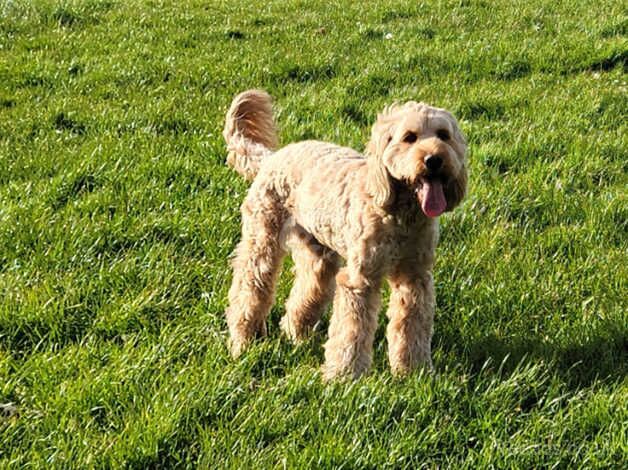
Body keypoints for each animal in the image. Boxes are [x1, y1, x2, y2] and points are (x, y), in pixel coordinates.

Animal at [221, 90, 466, 380]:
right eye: (409, 137)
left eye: (443, 135)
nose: (434, 160)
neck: (400, 214)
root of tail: (272, 156)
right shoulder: (360, 280)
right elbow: (351, 331)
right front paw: (345, 376)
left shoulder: (415, 277)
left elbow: (412, 327)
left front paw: (413, 372)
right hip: (261, 241)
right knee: (249, 289)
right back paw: (243, 341)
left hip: (317, 252)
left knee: (308, 288)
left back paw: (296, 332)